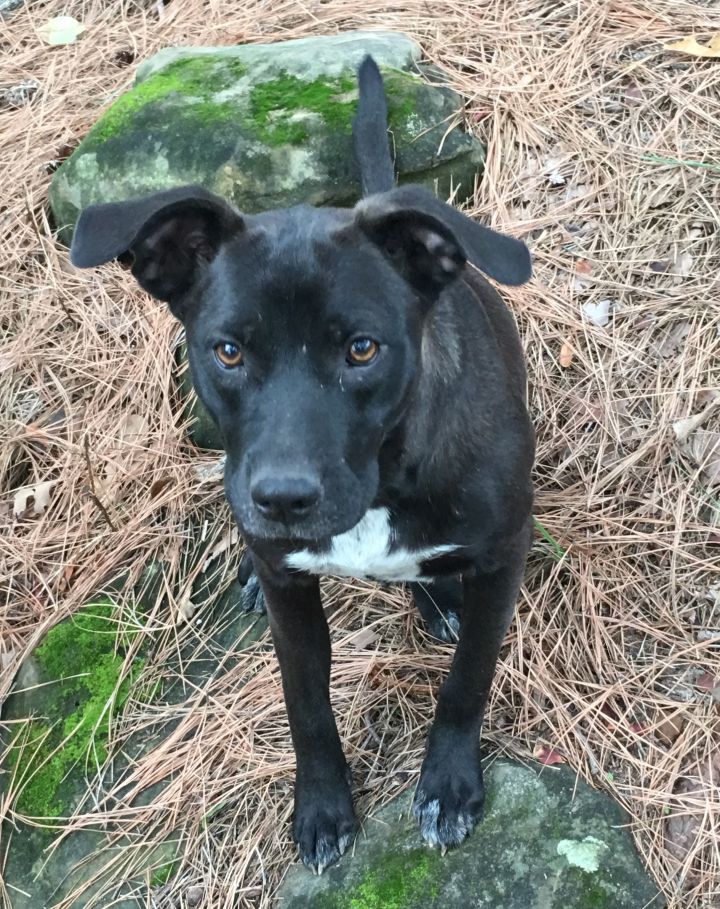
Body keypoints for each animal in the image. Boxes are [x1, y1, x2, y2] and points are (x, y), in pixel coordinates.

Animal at [71, 55, 536, 872]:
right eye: (228, 350)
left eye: (362, 348)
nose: (283, 498)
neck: (382, 481)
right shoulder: (295, 601)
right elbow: (307, 705)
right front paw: (321, 807)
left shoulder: (505, 555)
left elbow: (468, 681)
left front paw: (449, 783)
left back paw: (438, 597)